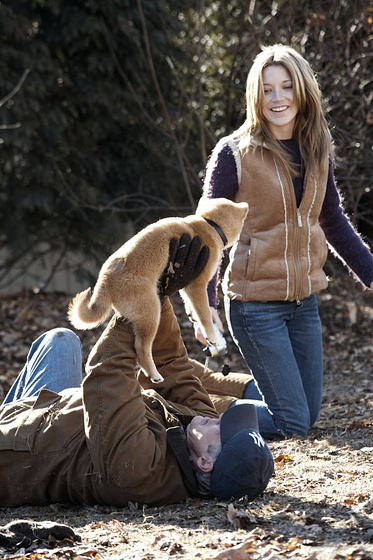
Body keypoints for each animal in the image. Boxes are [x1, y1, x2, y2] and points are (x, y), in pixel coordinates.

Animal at [67, 196, 247, 380]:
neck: (209, 224)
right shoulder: (196, 285)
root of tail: (105, 283)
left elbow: (194, 310)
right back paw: (154, 374)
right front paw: (213, 337)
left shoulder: (186, 286)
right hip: (151, 314)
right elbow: (205, 316)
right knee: (141, 348)